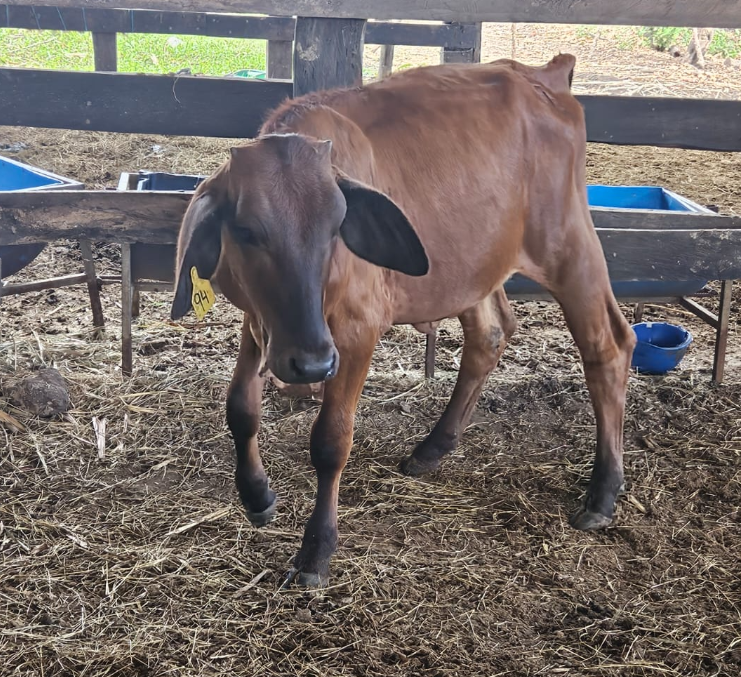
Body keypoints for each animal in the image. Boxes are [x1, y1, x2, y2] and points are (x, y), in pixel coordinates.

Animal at [170, 54, 636, 587]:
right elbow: (240, 408)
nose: (312, 366)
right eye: (247, 230)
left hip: (570, 247)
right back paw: (433, 447)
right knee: (490, 334)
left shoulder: (353, 333)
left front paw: (317, 550)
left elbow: (331, 440)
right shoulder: (261, 324)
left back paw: (604, 490)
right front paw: (257, 494)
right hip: (473, 266)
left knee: (609, 346)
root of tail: (545, 74)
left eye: (336, 227)